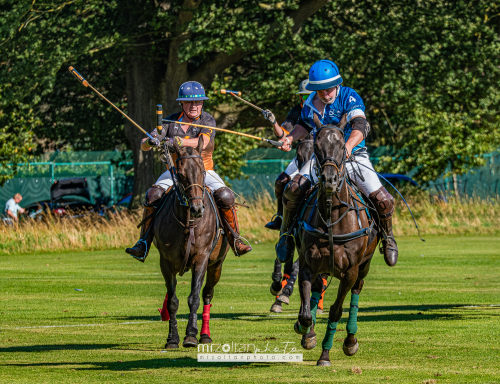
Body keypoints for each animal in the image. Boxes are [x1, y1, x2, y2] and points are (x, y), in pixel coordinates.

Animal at [153, 138, 229, 348]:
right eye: (180, 174)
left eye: (203, 171)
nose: (197, 209)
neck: (188, 221)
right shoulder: (166, 262)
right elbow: (172, 301)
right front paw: (172, 338)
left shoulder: (201, 258)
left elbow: (194, 298)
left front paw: (190, 336)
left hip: (217, 264)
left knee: (207, 295)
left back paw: (205, 334)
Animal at [292, 116, 376, 366]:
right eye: (317, 147)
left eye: (341, 147)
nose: (329, 180)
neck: (332, 218)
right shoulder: (308, 264)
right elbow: (305, 312)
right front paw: (305, 330)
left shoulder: (350, 272)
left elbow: (336, 310)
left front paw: (325, 355)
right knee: (317, 291)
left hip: (363, 267)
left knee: (356, 292)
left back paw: (350, 340)